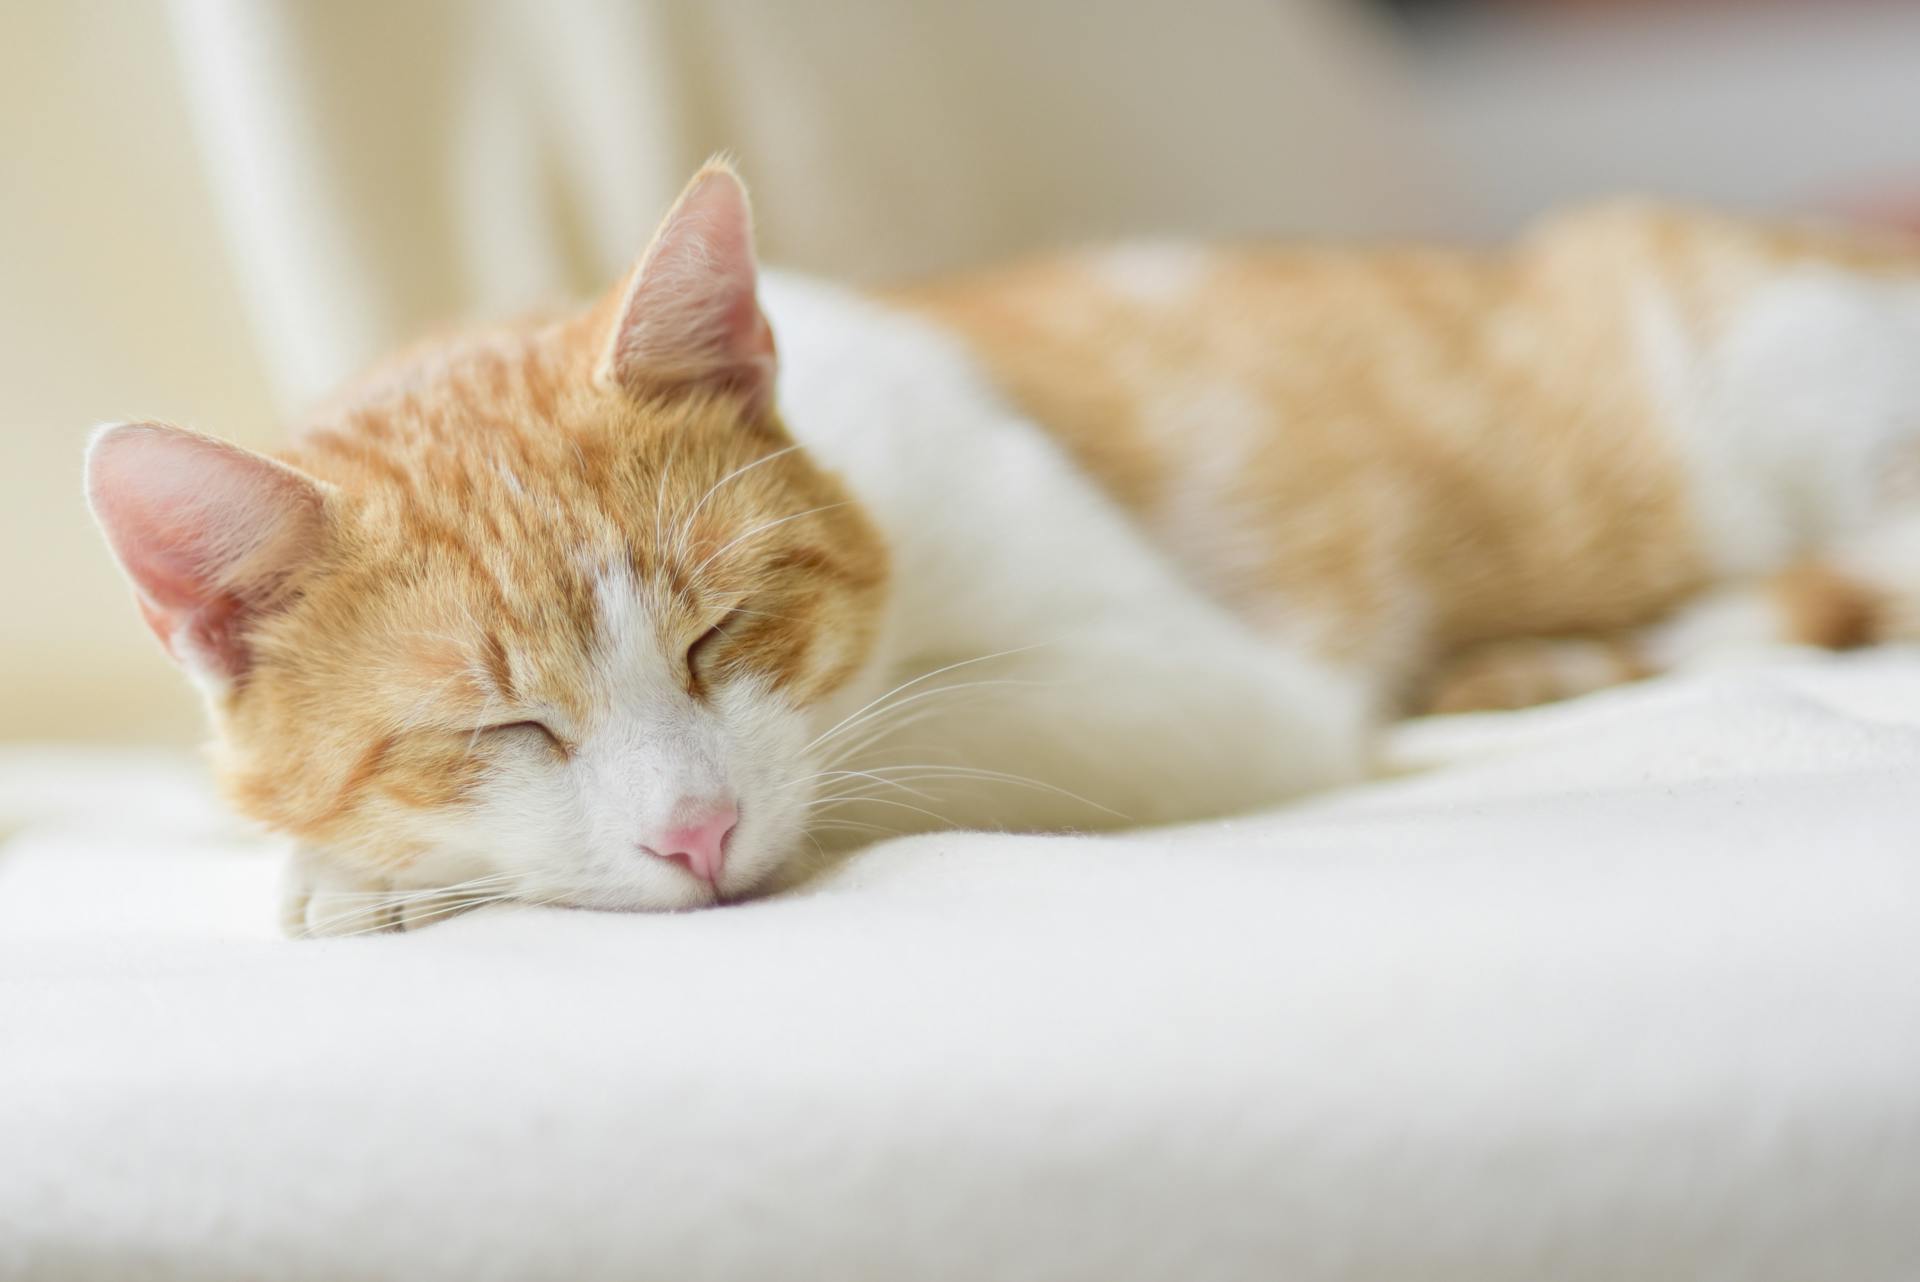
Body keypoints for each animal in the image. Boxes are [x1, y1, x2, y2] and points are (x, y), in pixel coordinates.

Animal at [86, 165, 1920, 936]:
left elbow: (914, 749)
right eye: (504, 724)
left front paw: (351, 877)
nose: (696, 834)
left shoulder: (1205, 689)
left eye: (720, 636)